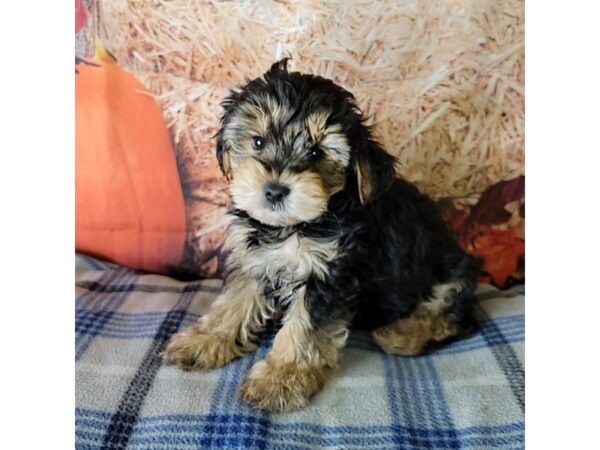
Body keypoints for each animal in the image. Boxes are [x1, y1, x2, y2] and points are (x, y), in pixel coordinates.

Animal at [164, 59, 482, 412]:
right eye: (258, 142)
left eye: (316, 153)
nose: (274, 191)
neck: (295, 226)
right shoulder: (255, 260)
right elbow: (234, 304)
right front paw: (205, 340)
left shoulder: (329, 274)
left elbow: (303, 329)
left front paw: (280, 377)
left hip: (451, 274)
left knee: (455, 315)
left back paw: (403, 334)